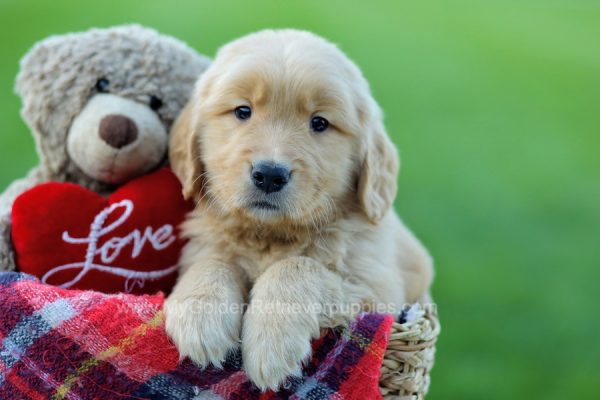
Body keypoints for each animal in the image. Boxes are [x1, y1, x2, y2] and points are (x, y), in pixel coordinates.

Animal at [165, 29, 432, 392]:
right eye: (243, 111)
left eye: (319, 123)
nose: (269, 175)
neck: (270, 235)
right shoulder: (204, 243)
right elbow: (213, 263)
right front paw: (199, 319)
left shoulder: (376, 287)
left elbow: (298, 266)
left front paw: (272, 344)